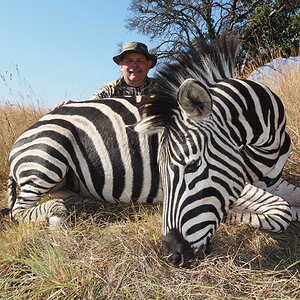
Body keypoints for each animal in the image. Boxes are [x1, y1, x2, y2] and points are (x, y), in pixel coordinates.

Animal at [5, 34, 300, 266]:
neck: (266, 146)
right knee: (20, 211)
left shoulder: (272, 179)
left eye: (192, 165)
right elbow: (283, 211)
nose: (172, 254)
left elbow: (291, 205)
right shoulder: (241, 183)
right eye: (163, 170)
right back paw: (57, 213)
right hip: (48, 156)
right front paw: (234, 215)